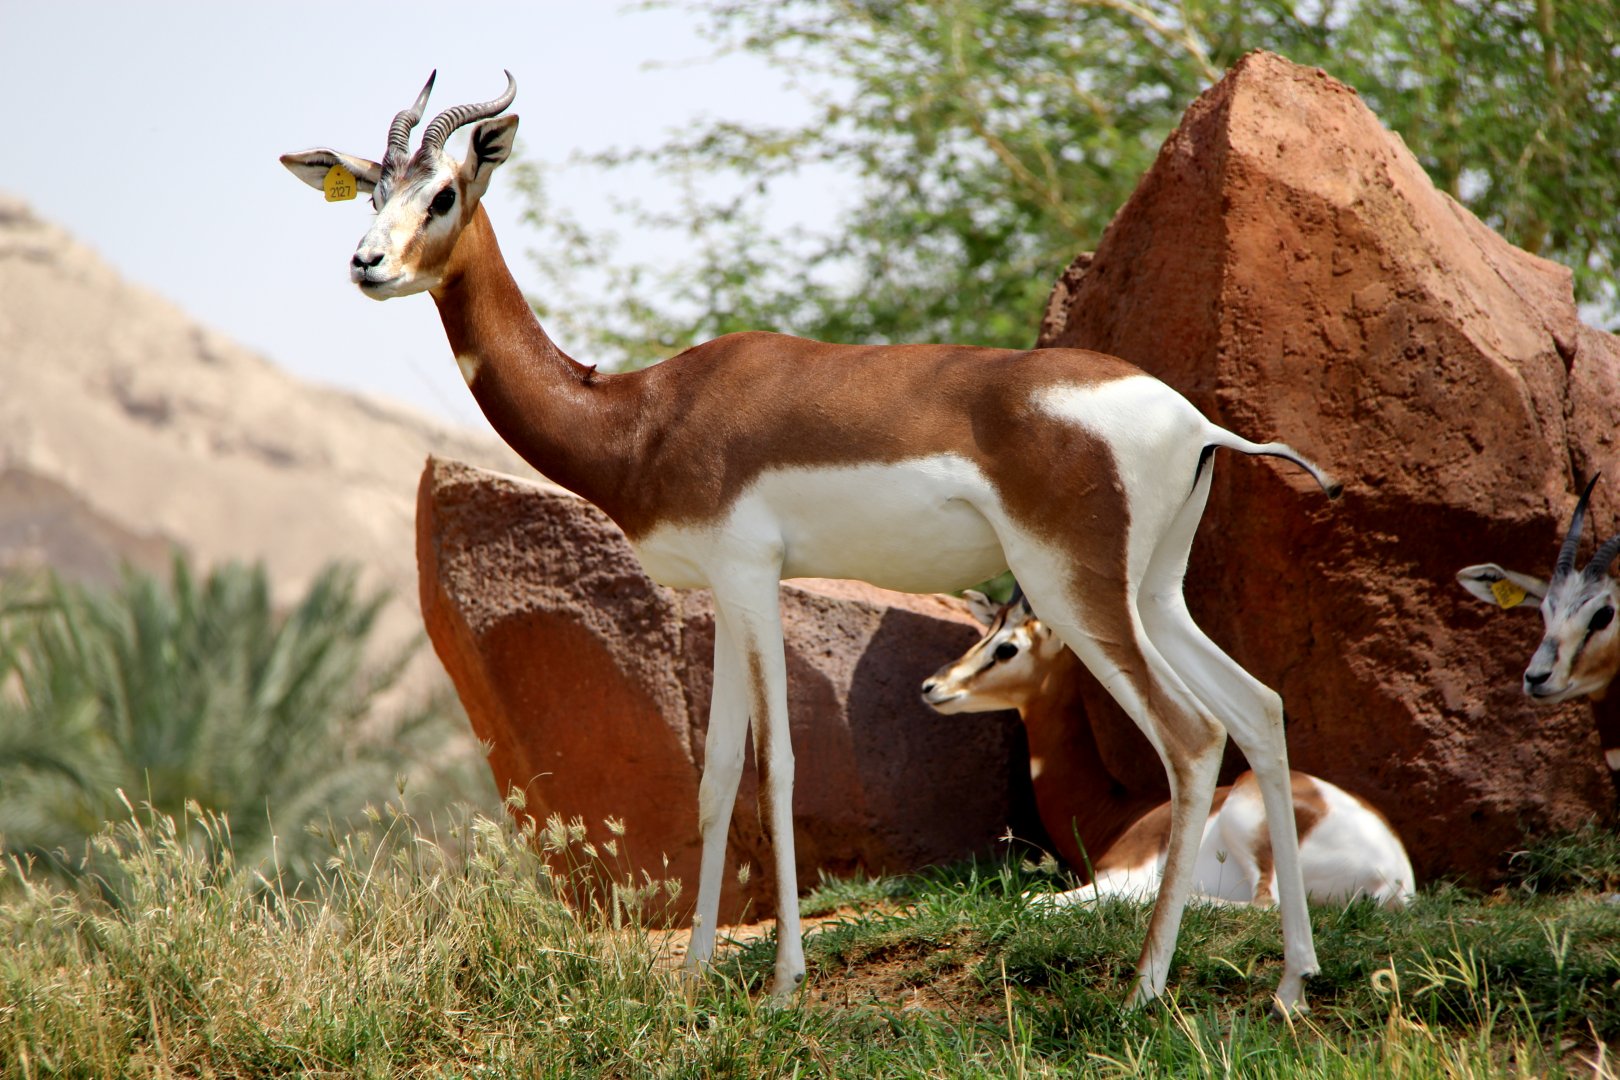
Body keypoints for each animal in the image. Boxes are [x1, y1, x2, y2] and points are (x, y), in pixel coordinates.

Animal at [281, 72, 1341, 1012]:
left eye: (443, 192)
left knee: (1192, 737)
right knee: (1261, 710)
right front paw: (698, 972)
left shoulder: (753, 578)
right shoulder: (719, 591)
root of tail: (1195, 422)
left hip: (1076, 591)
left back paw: (1145, 989)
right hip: (1154, 591)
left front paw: (786, 980)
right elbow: (715, 774)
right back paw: (1293, 981)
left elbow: (778, 765)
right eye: (371, 191)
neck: (644, 414)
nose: (367, 265)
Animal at [923, 592, 1415, 909]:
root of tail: (1394, 877)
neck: (1116, 814)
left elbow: (1033, 899)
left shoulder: (1121, 874)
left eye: (1007, 648)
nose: (932, 686)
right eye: (984, 632)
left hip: (1248, 813)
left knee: (1263, 906)